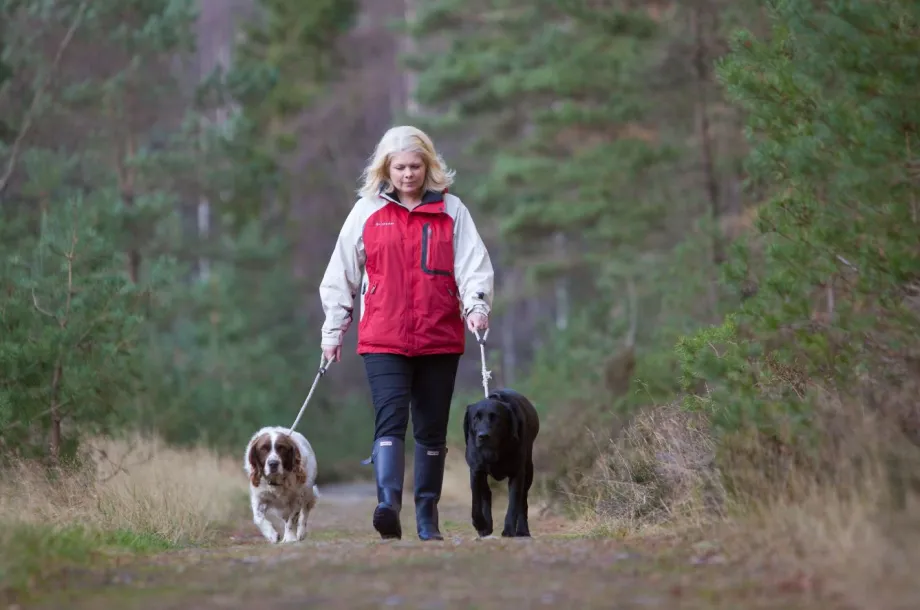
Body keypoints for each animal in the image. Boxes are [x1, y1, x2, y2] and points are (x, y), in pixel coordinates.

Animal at [463, 389, 540, 538]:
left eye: (495, 417)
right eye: (475, 417)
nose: (483, 436)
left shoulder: (517, 473)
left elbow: (514, 504)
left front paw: (509, 530)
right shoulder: (476, 471)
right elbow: (476, 502)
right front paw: (481, 525)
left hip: (529, 471)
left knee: (522, 501)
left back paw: (523, 530)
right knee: (486, 493)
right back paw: (487, 525)